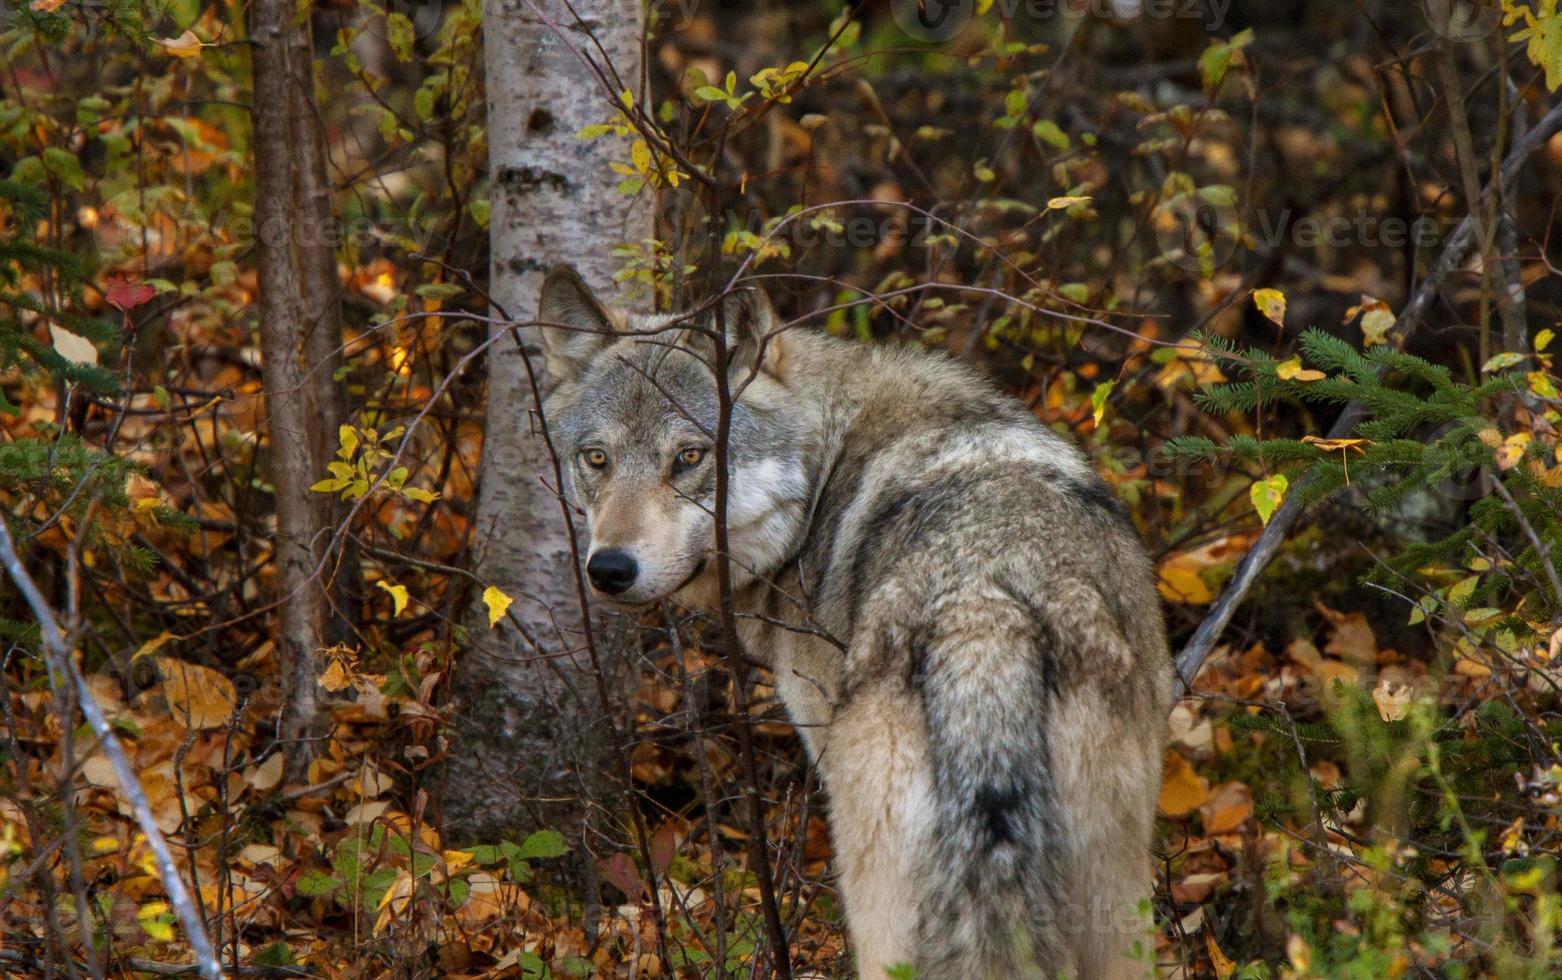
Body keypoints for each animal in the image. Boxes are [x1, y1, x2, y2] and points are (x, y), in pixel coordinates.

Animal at [537, 264, 1174, 975]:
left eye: (690, 457)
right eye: (596, 459)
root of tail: (984, 616)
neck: (825, 470)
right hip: (1118, 909)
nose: (609, 569)